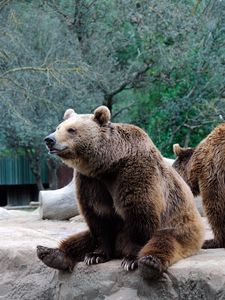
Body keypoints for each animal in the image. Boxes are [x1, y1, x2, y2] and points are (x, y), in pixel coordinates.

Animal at [36, 106, 204, 278]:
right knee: (81, 239)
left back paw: (149, 262)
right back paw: (51, 253)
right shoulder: (90, 181)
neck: (108, 163)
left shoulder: (133, 172)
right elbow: (99, 217)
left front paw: (131, 259)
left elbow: (139, 214)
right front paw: (95, 255)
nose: (49, 140)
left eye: (71, 129)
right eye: (58, 127)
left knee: (164, 241)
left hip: (179, 226)